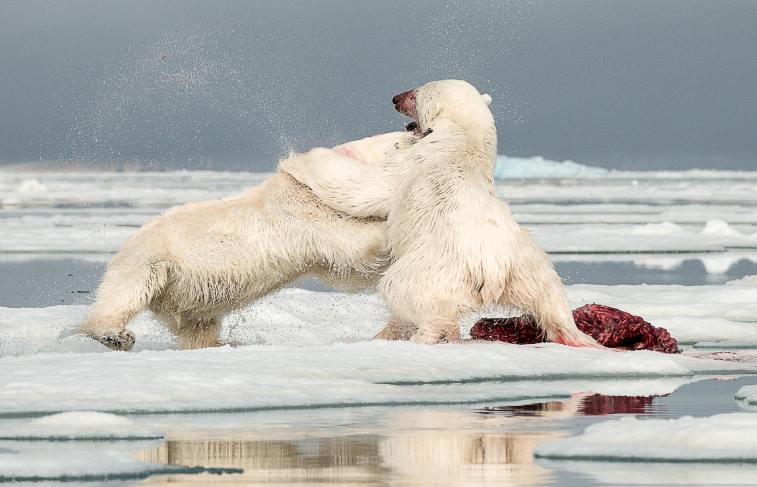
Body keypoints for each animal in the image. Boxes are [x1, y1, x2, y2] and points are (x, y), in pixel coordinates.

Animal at [81, 132, 414, 352]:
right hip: (155, 260)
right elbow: (355, 246)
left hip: (187, 294)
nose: (413, 130)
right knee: (124, 293)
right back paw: (116, 335)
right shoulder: (307, 214)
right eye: (399, 141)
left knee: (197, 327)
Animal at [280, 79, 600, 346]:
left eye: (414, 93)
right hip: (530, 267)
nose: (394, 98)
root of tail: (494, 267)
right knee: (551, 303)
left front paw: (300, 160)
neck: (466, 136)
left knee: (407, 291)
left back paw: (427, 334)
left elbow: (365, 187)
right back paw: (577, 338)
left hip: (437, 264)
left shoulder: (416, 161)